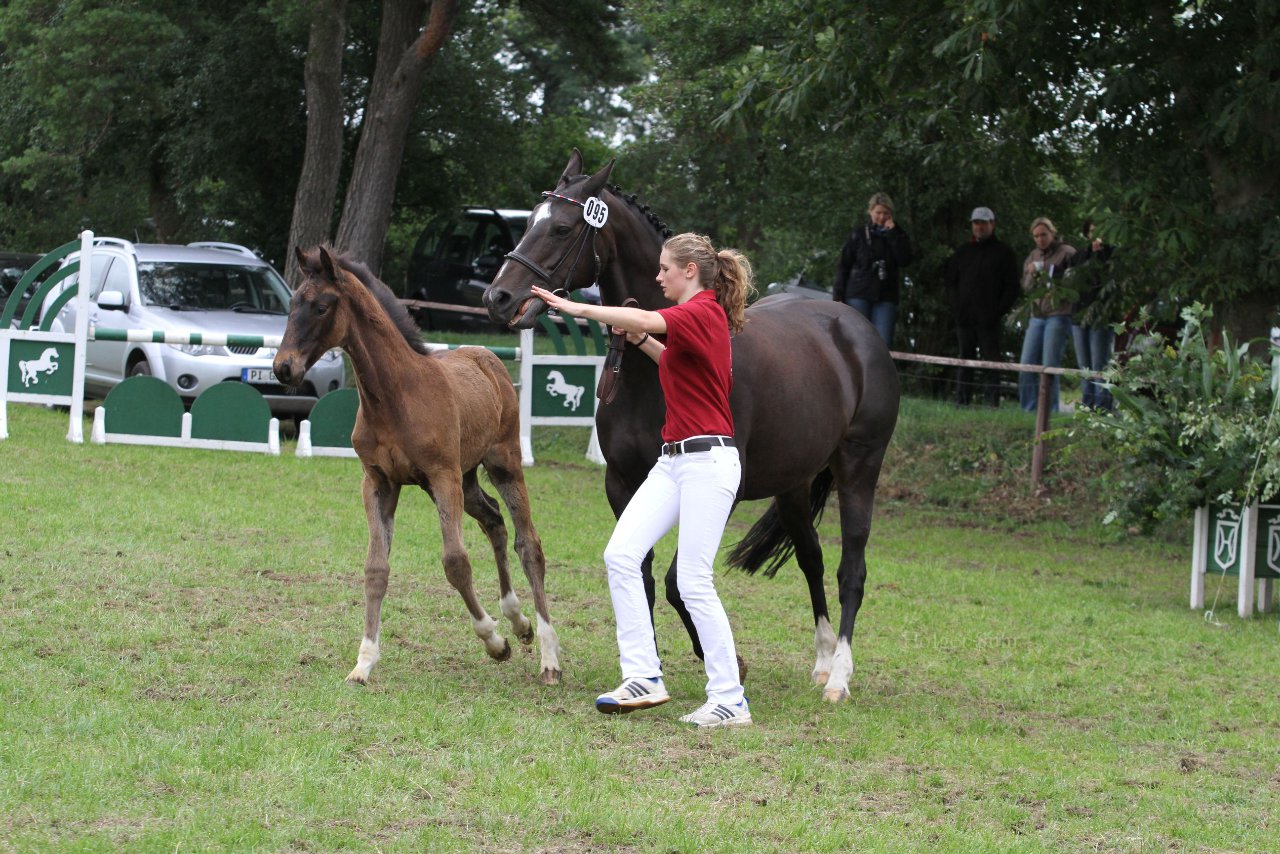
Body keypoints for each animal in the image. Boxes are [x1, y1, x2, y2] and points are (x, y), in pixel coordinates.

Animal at [275, 247, 560, 686]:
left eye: (321, 306)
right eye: (291, 305)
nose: (282, 368)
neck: (396, 395)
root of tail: (488, 357)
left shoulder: (442, 477)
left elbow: (455, 562)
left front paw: (494, 641)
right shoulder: (378, 481)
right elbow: (376, 567)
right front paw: (364, 662)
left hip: (502, 465)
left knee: (528, 544)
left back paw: (548, 655)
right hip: (466, 479)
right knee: (494, 520)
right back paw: (518, 620)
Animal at [481, 151, 901, 701]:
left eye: (564, 228)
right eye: (530, 219)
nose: (499, 297)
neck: (650, 373)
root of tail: (855, 328)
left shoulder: (725, 488)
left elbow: (678, 580)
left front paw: (726, 661)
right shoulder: (623, 483)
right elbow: (642, 574)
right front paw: (645, 670)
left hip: (858, 468)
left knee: (851, 568)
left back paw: (840, 677)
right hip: (793, 484)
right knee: (810, 559)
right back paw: (823, 661)